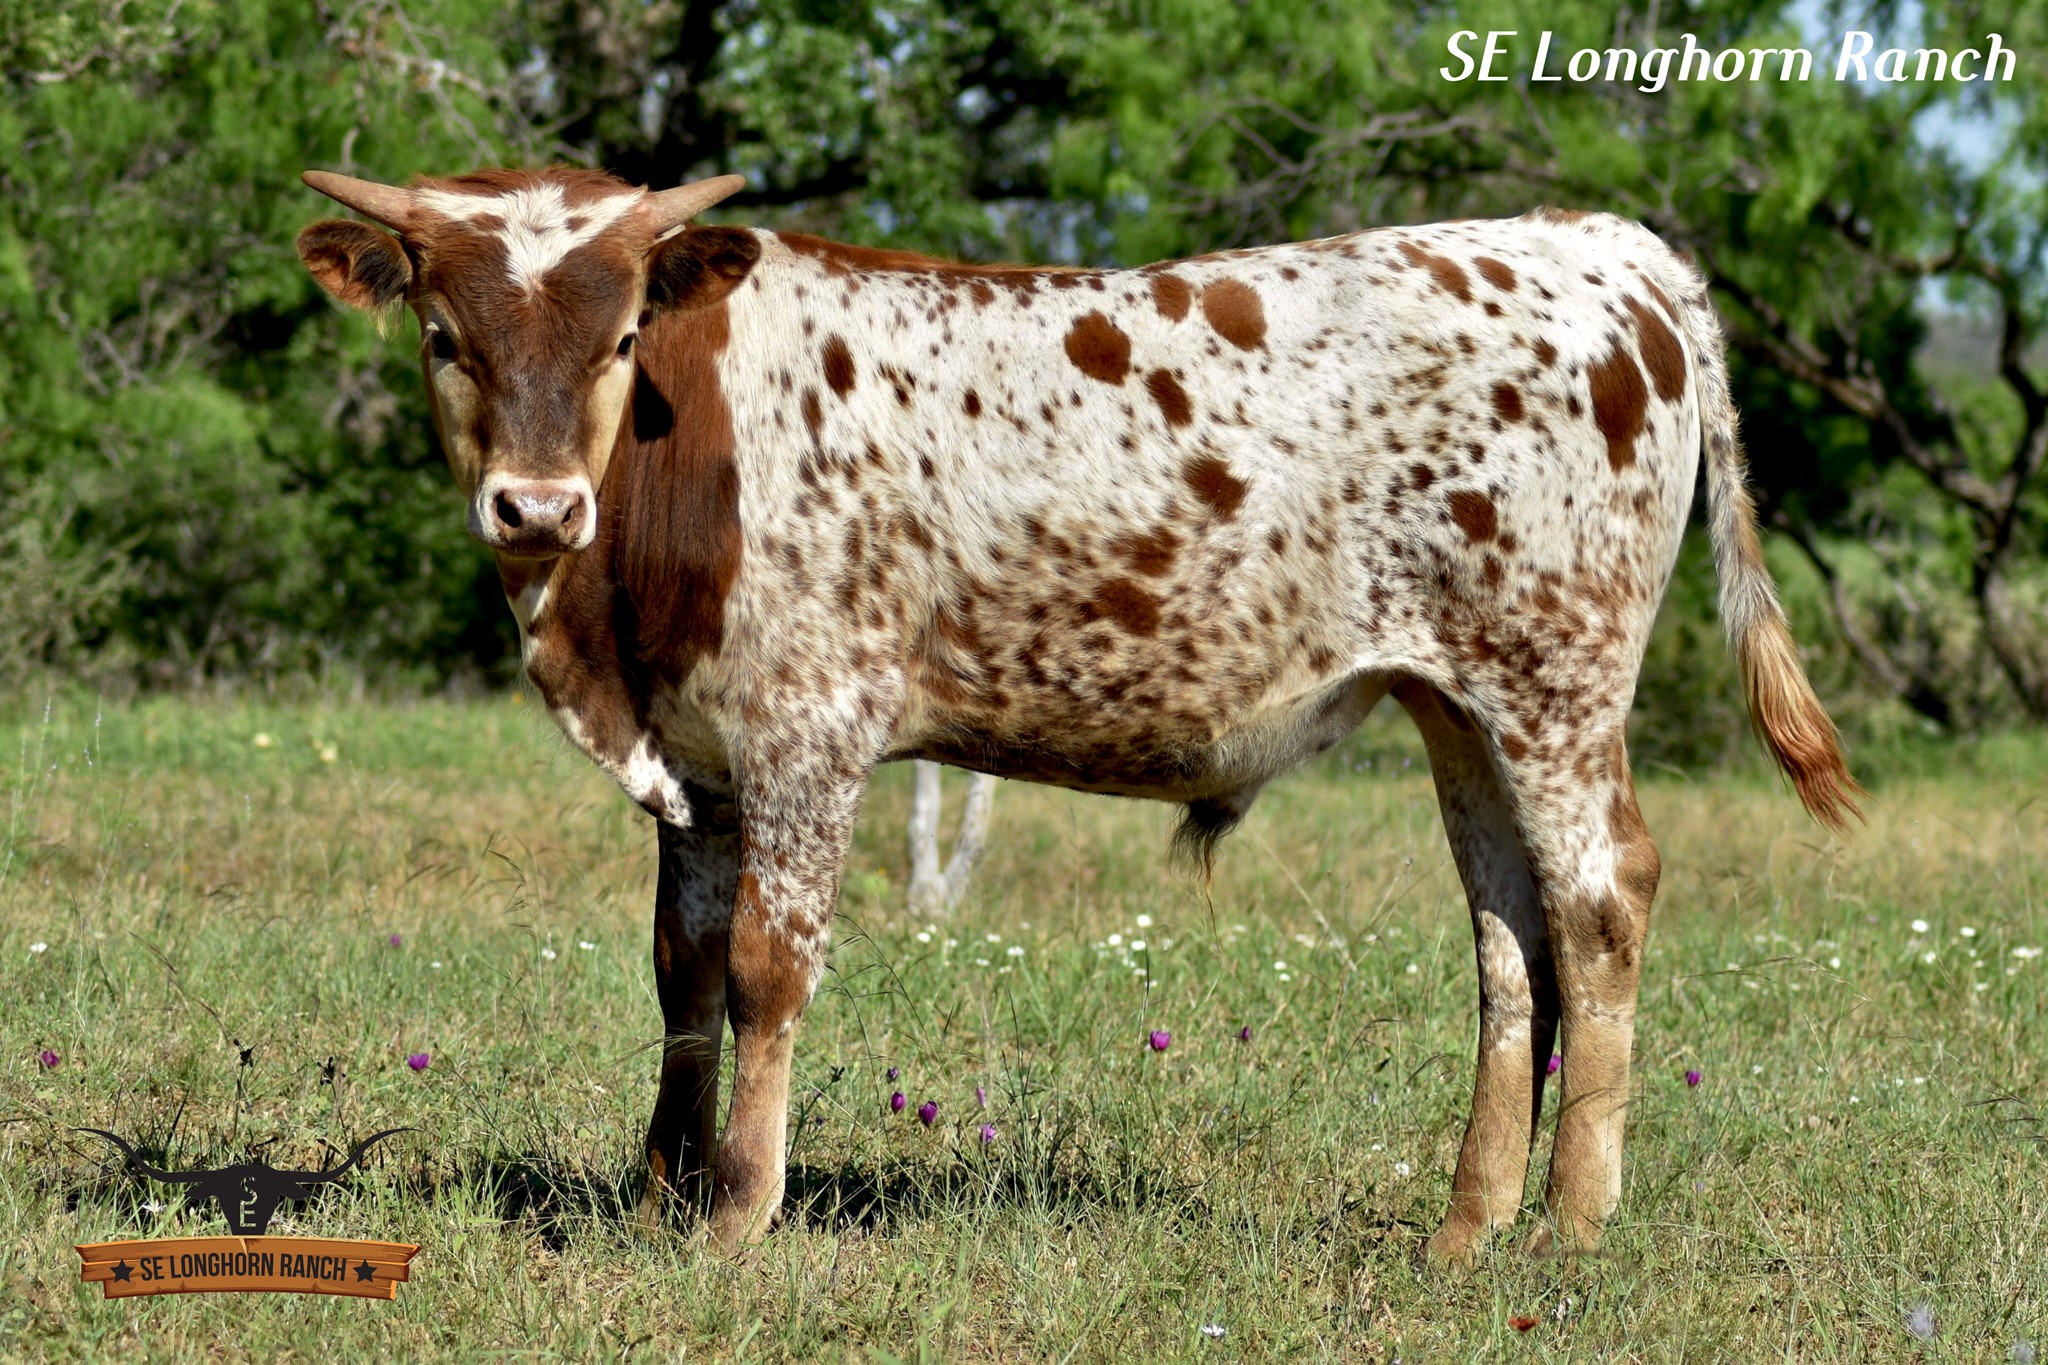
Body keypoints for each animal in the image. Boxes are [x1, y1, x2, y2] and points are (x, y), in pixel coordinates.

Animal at [296, 166, 1859, 1260]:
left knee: (1598, 902)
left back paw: (1573, 1226)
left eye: (623, 334)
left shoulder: (808, 731)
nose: (535, 507)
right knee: (1510, 938)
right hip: (1458, 709)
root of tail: (1598, 244)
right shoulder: (696, 759)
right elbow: (680, 975)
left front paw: (735, 1212)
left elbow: (762, 971)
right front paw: (656, 1194)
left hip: (1555, 681)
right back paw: (1466, 1229)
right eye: (442, 334)